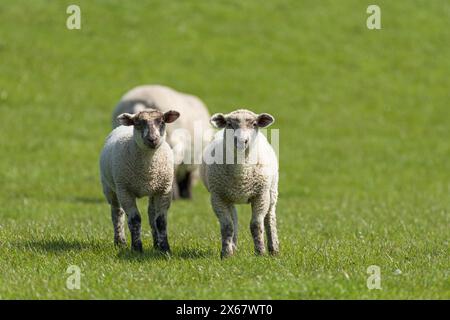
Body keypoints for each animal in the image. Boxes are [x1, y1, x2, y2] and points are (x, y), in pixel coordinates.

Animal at [100, 110, 179, 252]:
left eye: (162, 122)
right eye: (137, 123)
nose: (152, 139)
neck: (148, 171)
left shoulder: (164, 190)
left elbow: (161, 221)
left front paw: (165, 248)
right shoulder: (125, 191)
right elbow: (134, 220)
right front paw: (137, 248)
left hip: (153, 190)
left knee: (151, 214)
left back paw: (156, 244)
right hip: (110, 188)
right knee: (117, 213)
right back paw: (120, 242)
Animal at [200, 109, 278, 258]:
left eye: (254, 124)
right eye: (229, 124)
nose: (242, 141)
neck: (242, 173)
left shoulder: (261, 195)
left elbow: (256, 225)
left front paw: (260, 252)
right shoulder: (218, 197)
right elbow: (227, 226)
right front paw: (226, 254)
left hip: (272, 191)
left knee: (269, 218)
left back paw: (274, 249)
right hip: (229, 196)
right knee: (234, 220)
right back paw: (233, 246)